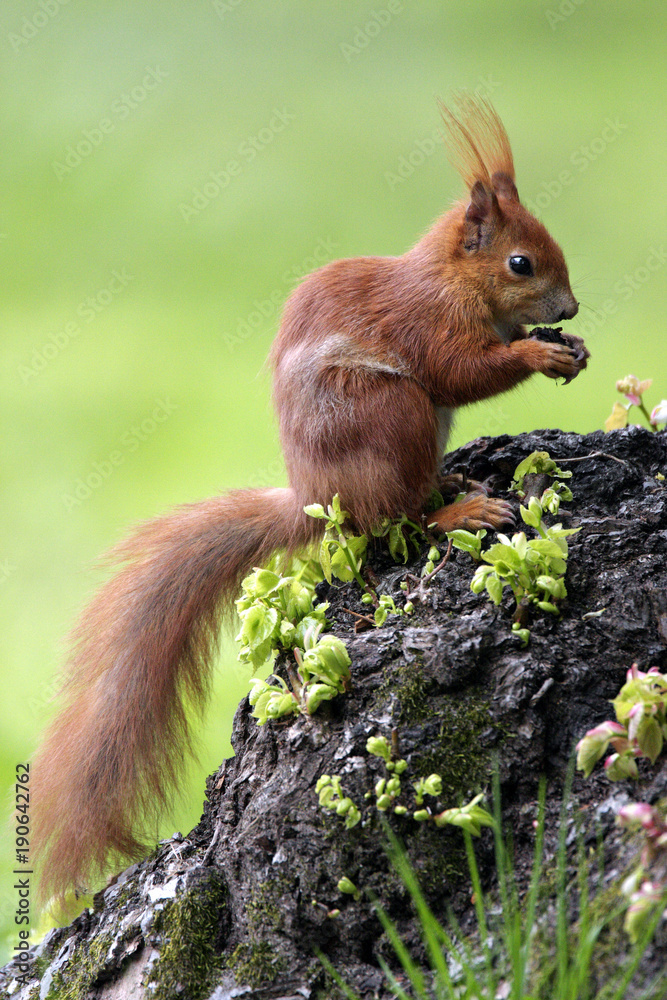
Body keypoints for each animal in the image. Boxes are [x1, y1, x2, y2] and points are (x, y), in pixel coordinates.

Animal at [32, 95, 588, 903]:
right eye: (520, 262)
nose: (571, 308)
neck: (454, 282)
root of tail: (316, 498)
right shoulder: (428, 325)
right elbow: (461, 371)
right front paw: (538, 352)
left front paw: (570, 350)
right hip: (391, 414)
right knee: (396, 514)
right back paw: (458, 510)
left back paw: (453, 484)